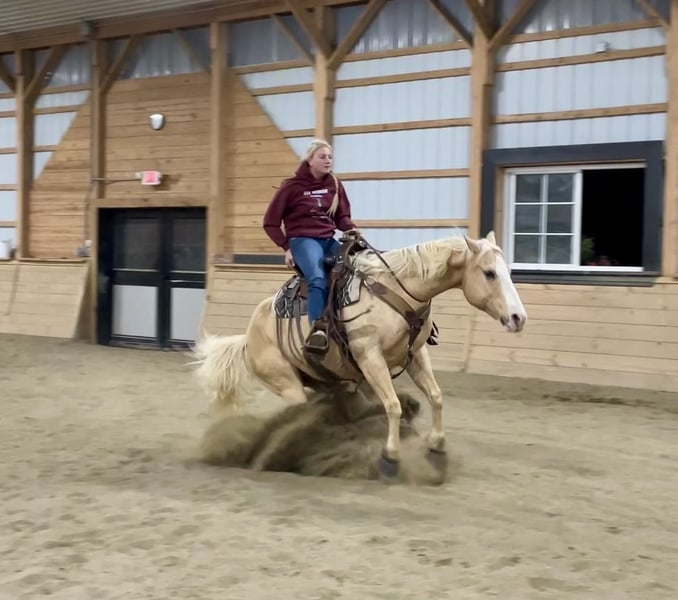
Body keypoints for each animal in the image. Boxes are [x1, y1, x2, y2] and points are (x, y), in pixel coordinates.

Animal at [193, 231, 527, 478]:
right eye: (489, 273)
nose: (518, 318)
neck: (397, 290)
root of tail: (249, 336)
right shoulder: (370, 358)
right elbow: (392, 406)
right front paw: (390, 458)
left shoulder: (415, 355)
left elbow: (435, 396)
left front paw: (436, 446)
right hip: (287, 384)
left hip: (329, 380)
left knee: (346, 409)